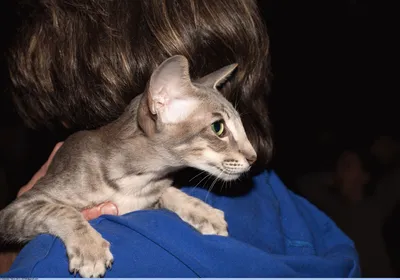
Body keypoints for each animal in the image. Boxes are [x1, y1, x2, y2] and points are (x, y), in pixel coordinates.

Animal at [0, 55, 256, 278]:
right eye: (218, 128)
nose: (254, 157)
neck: (137, 181)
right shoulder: (15, 209)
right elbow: (63, 211)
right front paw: (89, 248)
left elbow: (170, 191)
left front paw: (203, 211)